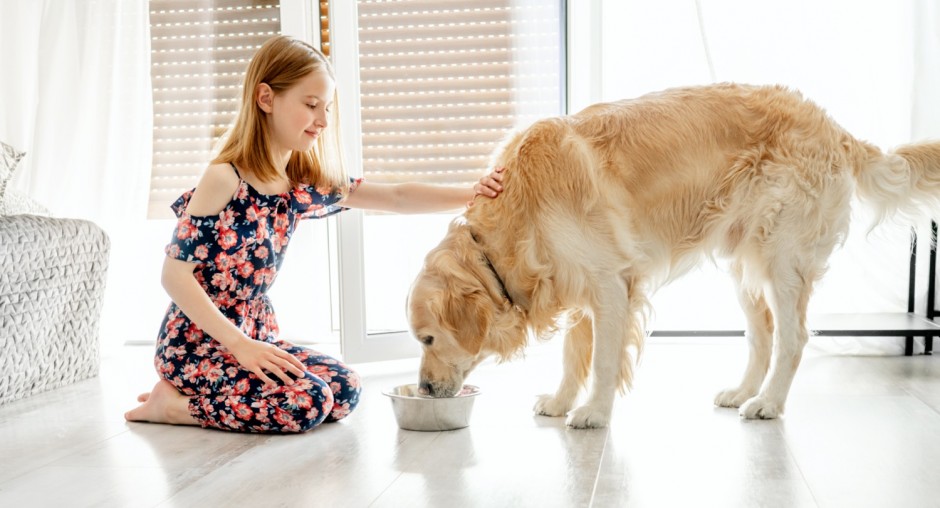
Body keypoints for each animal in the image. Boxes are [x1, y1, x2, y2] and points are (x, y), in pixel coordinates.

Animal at [404, 83, 940, 428]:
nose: (424, 389)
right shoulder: (578, 287)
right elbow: (573, 356)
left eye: (428, 339)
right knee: (761, 334)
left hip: (781, 259)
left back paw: (768, 403)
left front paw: (594, 413)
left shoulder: (610, 283)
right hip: (744, 264)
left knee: (793, 337)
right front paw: (559, 402)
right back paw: (742, 392)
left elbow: (602, 361)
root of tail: (832, 126)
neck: (519, 214)